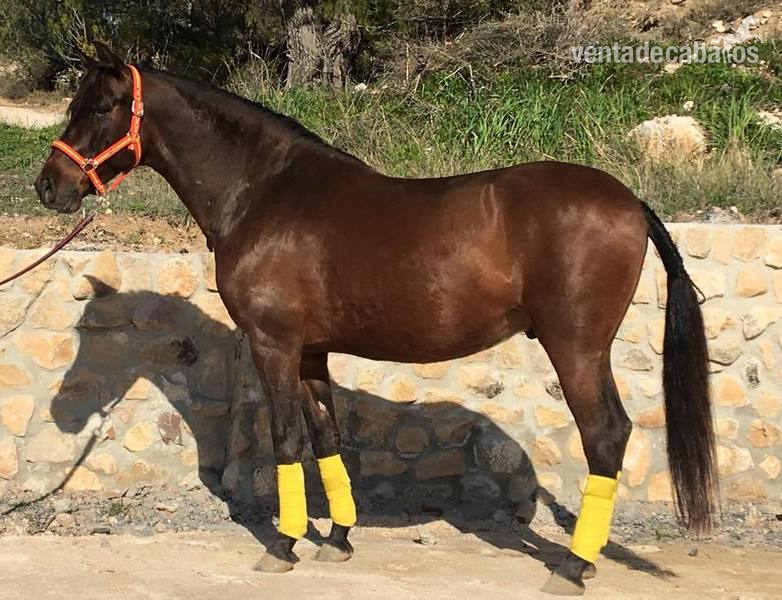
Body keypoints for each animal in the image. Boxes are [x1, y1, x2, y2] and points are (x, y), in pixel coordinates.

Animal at [35, 42, 716, 596]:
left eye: (101, 108)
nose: (48, 186)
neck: (263, 194)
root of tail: (628, 202)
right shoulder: (311, 351)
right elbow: (326, 437)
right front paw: (337, 539)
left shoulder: (274, 345)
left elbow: (286, 439)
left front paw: (284, 545)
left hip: (575, 348)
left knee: (606, 435)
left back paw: (573, 567)